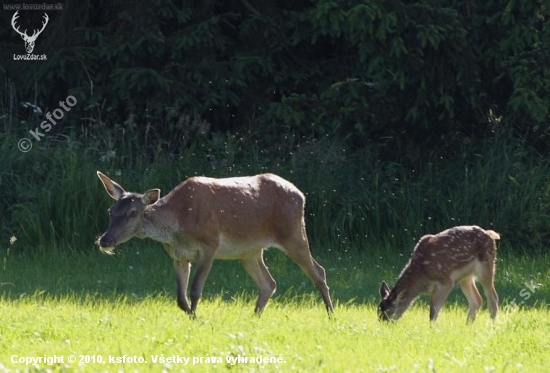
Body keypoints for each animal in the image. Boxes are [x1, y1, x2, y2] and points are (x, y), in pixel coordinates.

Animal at [97, 171, 334, 314]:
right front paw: (190, 315)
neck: (178, 224)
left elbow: (195, 290)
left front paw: (196, 318)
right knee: (269, 283)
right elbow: (180, 298)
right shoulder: (177, 255)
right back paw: (254, 317)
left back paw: (331, 314)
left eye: (133, 213)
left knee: (318, 271)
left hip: (293, 232)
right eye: (110, 211)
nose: (105, 240)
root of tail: (301, 194)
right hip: (250, 251)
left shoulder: (209, 244)